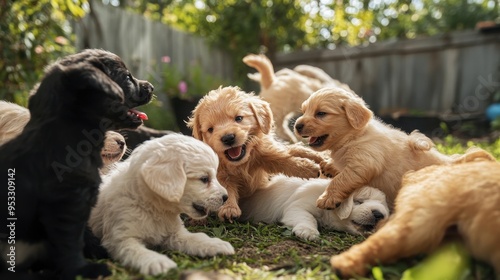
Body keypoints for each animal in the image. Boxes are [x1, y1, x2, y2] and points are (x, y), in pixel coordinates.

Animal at [89, 134, 235, 276]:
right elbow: (138, 251)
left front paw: (216, 244)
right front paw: (157, 261)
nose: (226, 197)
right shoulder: (121, 238)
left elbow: (197, 238)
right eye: (204, 179)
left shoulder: (176, 234)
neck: (152, 207)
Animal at [188, 85, 324, 221]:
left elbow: (283, 159)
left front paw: (306, 168)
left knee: (292, 149)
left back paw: (317, 157)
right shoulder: (219, 173)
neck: (241, 164)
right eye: (210, 129)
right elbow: (225, 188)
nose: (228, 138)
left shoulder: (264, 152)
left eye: (239, 118)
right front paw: (229, 208)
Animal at [239, 174, 390, 240]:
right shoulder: (298, 207)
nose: (379, 214)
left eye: (384, 208)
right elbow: (308, 217)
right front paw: (308, 231)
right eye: (359, 201)